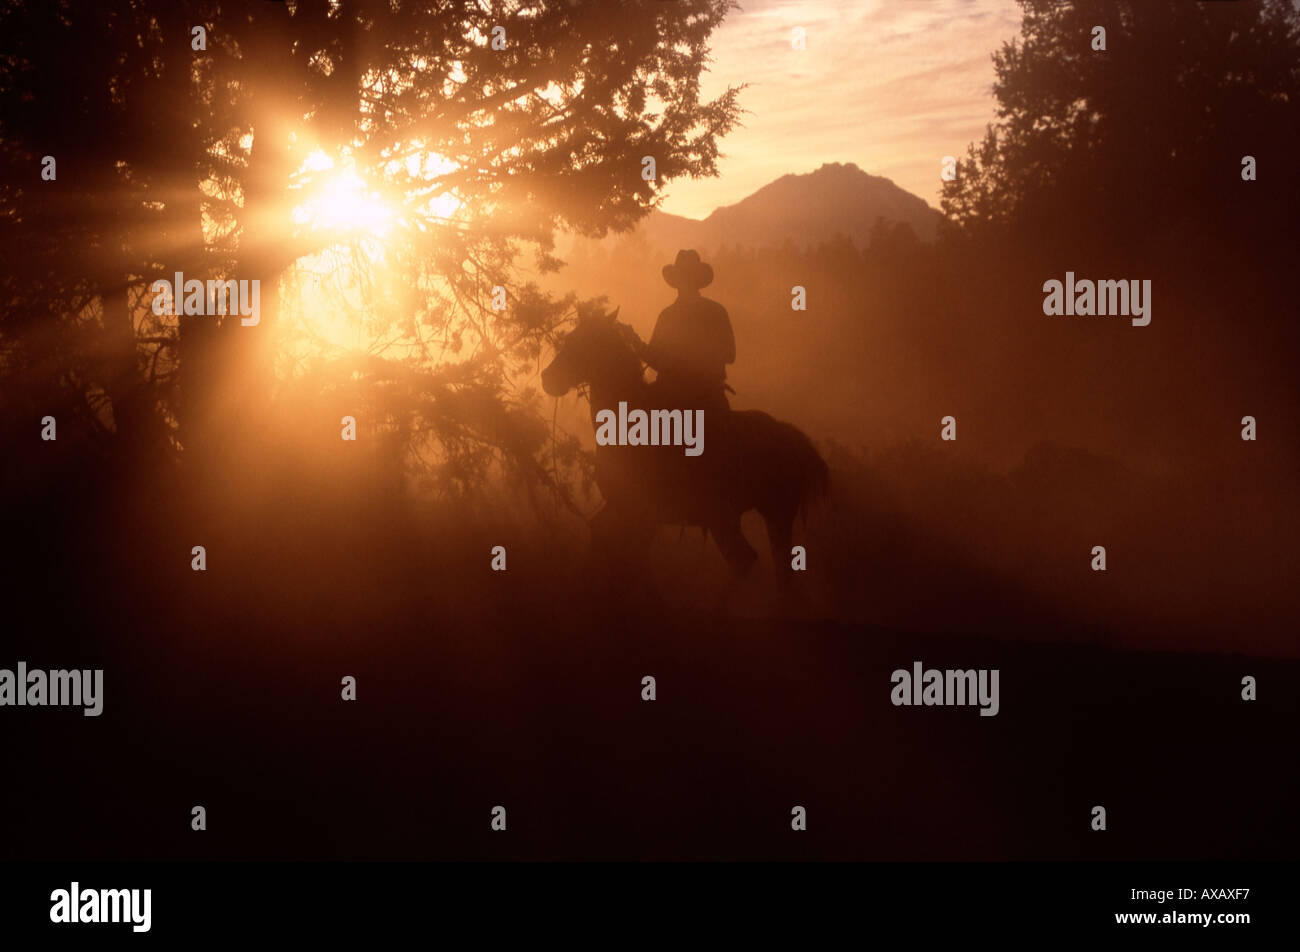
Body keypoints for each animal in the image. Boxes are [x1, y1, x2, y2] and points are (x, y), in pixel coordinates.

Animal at [540, 308, 826, 598]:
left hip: (754, 514)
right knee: (763, 565)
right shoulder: (625, 509)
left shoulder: (641, 511)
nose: (547, 379)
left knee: (752, 562)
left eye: (583, 341)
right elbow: (612, 545)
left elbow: (630, 559)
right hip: (750, 516)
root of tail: (793, 437)